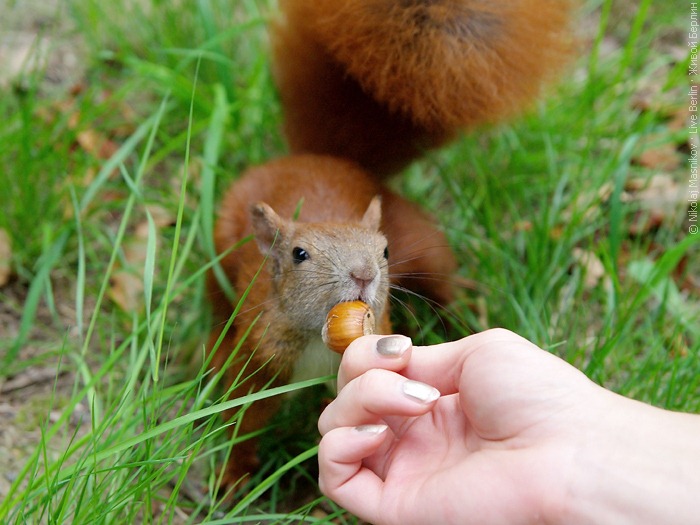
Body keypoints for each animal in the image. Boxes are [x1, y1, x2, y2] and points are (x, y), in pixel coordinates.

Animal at [207, 0, 573, 488]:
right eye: (299, 254)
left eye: (384, 250)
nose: (364, 275)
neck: (319, 343)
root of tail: (327, 159)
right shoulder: (258, 356)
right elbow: (240, 419)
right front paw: (230, 480)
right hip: (220, 250)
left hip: (425, 242)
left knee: (444, 284)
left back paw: (465, 317)